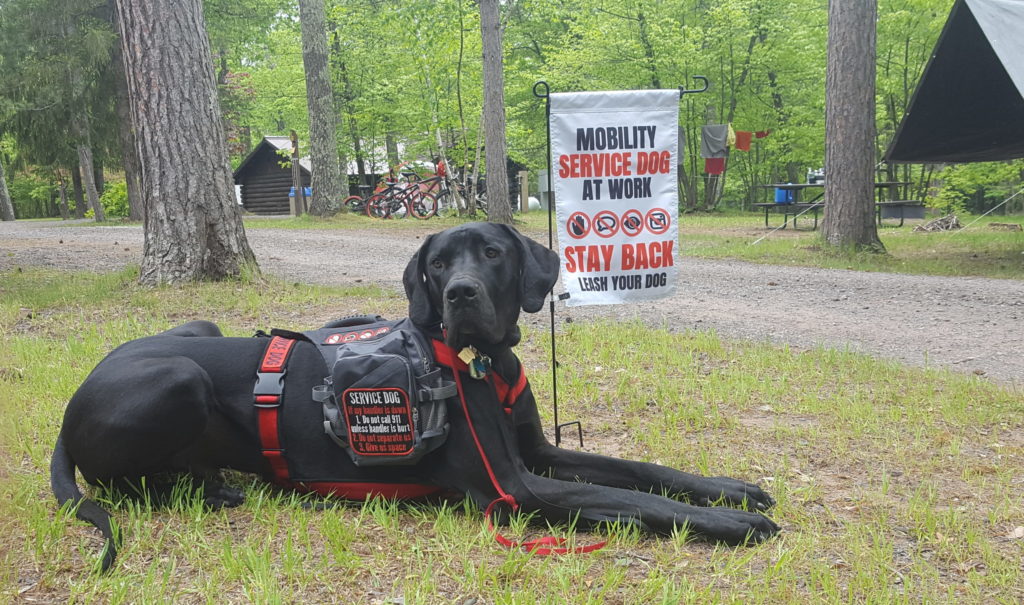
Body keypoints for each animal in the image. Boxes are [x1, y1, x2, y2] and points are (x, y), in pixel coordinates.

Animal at [51, 220, 774, 569]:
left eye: (492, 254)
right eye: (437, 265)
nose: (460, 293)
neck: (483, 361)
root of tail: (68, 406)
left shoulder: (538, 453)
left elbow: (640, 470)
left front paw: (731, 490)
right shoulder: (516, 486)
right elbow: (634, 500)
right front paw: (731, 523)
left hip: (197, 328)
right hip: (179, 376)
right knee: (131, 485)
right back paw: (210, 487)